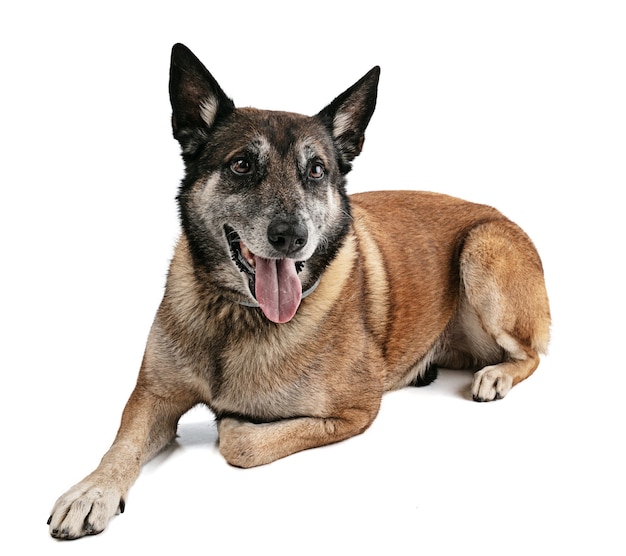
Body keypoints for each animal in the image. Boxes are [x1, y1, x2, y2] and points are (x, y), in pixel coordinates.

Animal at [47, 43, 544, 540]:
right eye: (242, 164)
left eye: (317, 170)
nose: (291, 236)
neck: (238, 315)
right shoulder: (153, 398)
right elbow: (121, 445)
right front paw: (91, 491)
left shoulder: (354, 412)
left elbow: (239, 442)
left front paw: (231, 422)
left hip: (481, 249)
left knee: (532, 355)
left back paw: (496, 375)